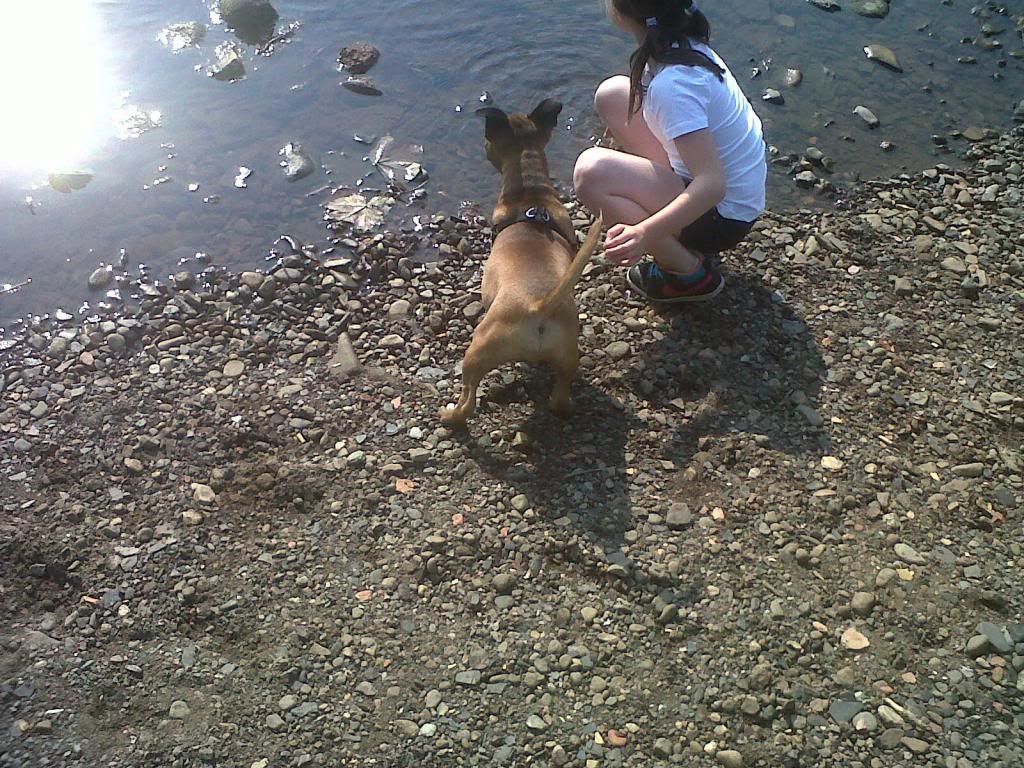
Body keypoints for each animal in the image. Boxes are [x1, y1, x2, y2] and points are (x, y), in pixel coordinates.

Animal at [438, 99, 598, 430]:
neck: (530, 193)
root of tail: (539, 305)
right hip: (567, 359)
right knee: (559, 399)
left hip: (477, 351)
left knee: (468, 399)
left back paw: (450, 415)